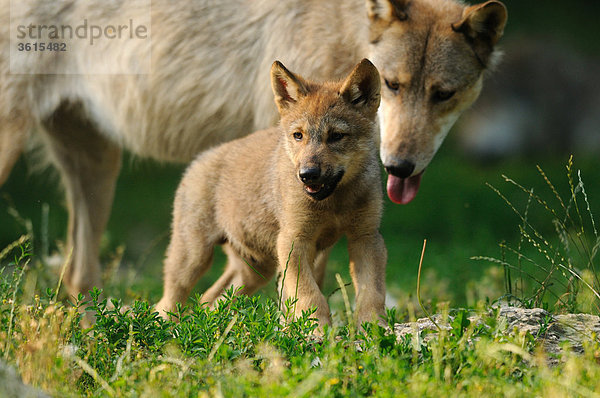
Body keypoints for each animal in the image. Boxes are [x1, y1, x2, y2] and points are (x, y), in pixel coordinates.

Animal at [0, 0, 506, 298]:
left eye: (444, 94)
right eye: (394, 85)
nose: (400, 166)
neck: (343, 29)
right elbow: (307, 280)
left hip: (99, 168)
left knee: (77, 277)